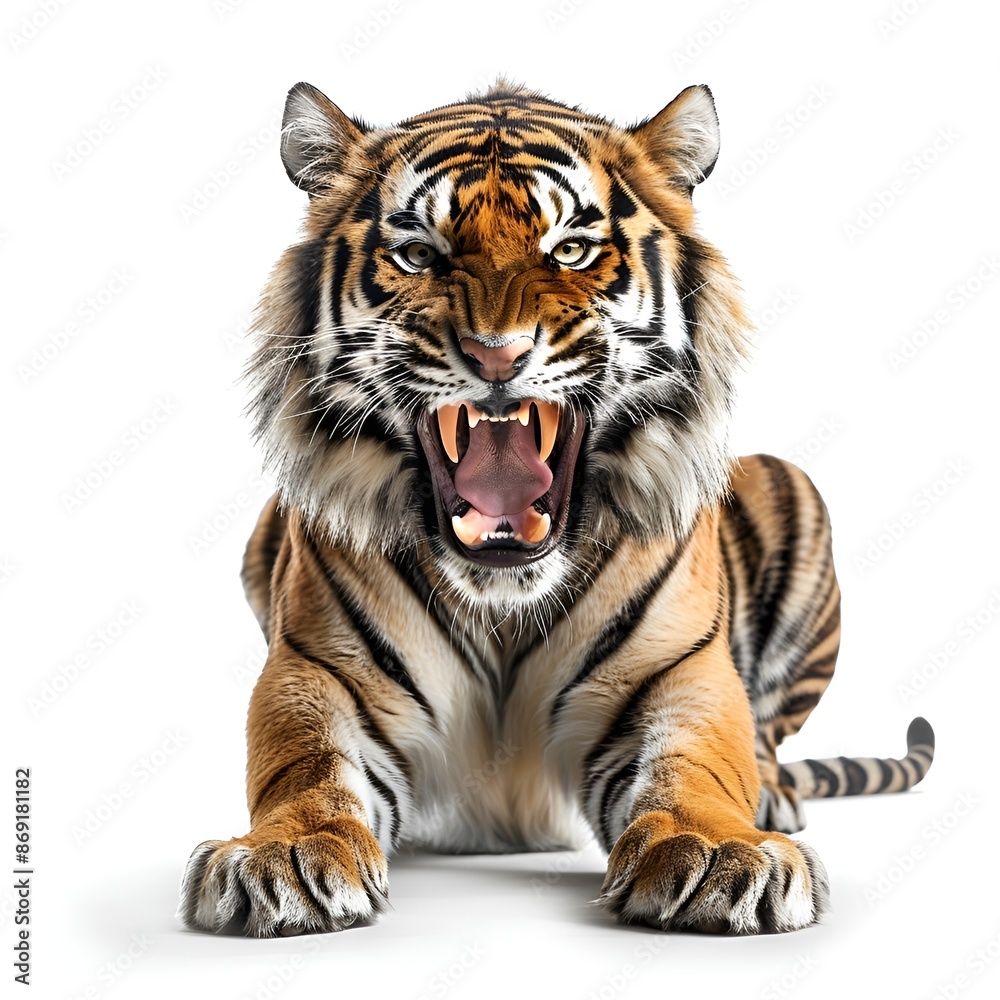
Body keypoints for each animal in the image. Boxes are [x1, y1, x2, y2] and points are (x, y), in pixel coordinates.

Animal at [178, 80, 934, 937]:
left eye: (569, 250)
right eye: (419, 254)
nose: (496, 354)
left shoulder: (680, 675)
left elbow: (699, 765)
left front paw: (721, 853)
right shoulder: (318, 671)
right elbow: (304, 767)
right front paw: (284, 854)